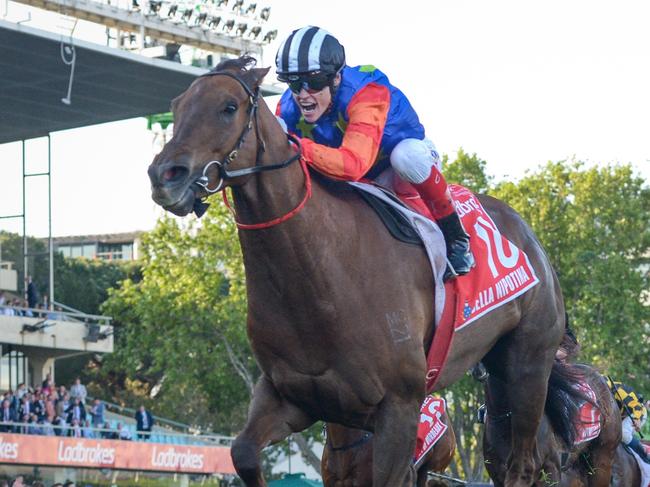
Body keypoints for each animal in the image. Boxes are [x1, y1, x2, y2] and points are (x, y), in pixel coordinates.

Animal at [148, 56, 568, 487]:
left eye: (229, 107)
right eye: (177, 106)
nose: (165, 176)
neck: (321, 276)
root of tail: (525, 231)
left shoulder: (400, 408)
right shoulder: (289, 397)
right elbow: (244, 452)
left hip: (529, 363)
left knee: (523, 464)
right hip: (497, 370)